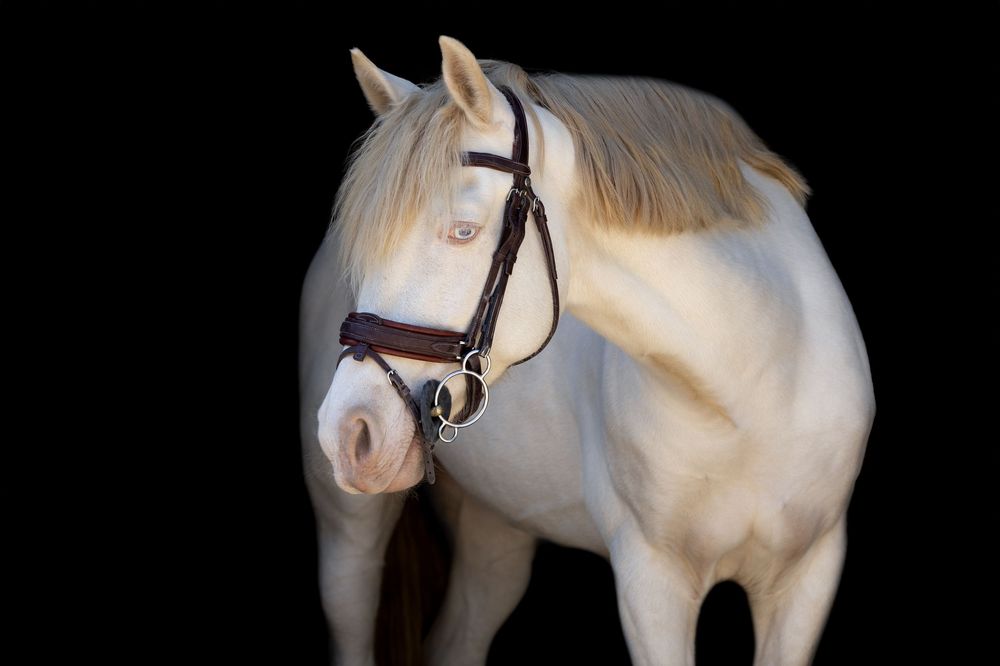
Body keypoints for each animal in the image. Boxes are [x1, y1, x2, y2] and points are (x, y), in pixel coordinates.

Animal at [302, 36, 874, 665]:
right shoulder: (652, 583)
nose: (349, 433)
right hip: (350, 530)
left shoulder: (807, 578)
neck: (757, 381)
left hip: (497, 527)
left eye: (463, 230)